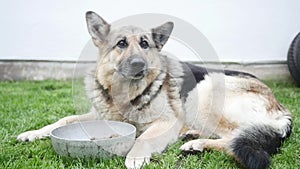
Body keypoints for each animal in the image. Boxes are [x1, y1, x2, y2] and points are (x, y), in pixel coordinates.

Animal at [17, 11, 292, 168]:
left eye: (145, 44)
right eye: (121, 44)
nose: (139, 64)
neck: (125, 94)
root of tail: (281, 109)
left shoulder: (166, 121)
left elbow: (143, 138)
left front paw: (136, 156)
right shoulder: (97, 115)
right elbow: (64, 119)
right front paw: (33, 132)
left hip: (204, 92)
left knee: (237, 136)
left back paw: (198, 142)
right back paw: (193, 136)